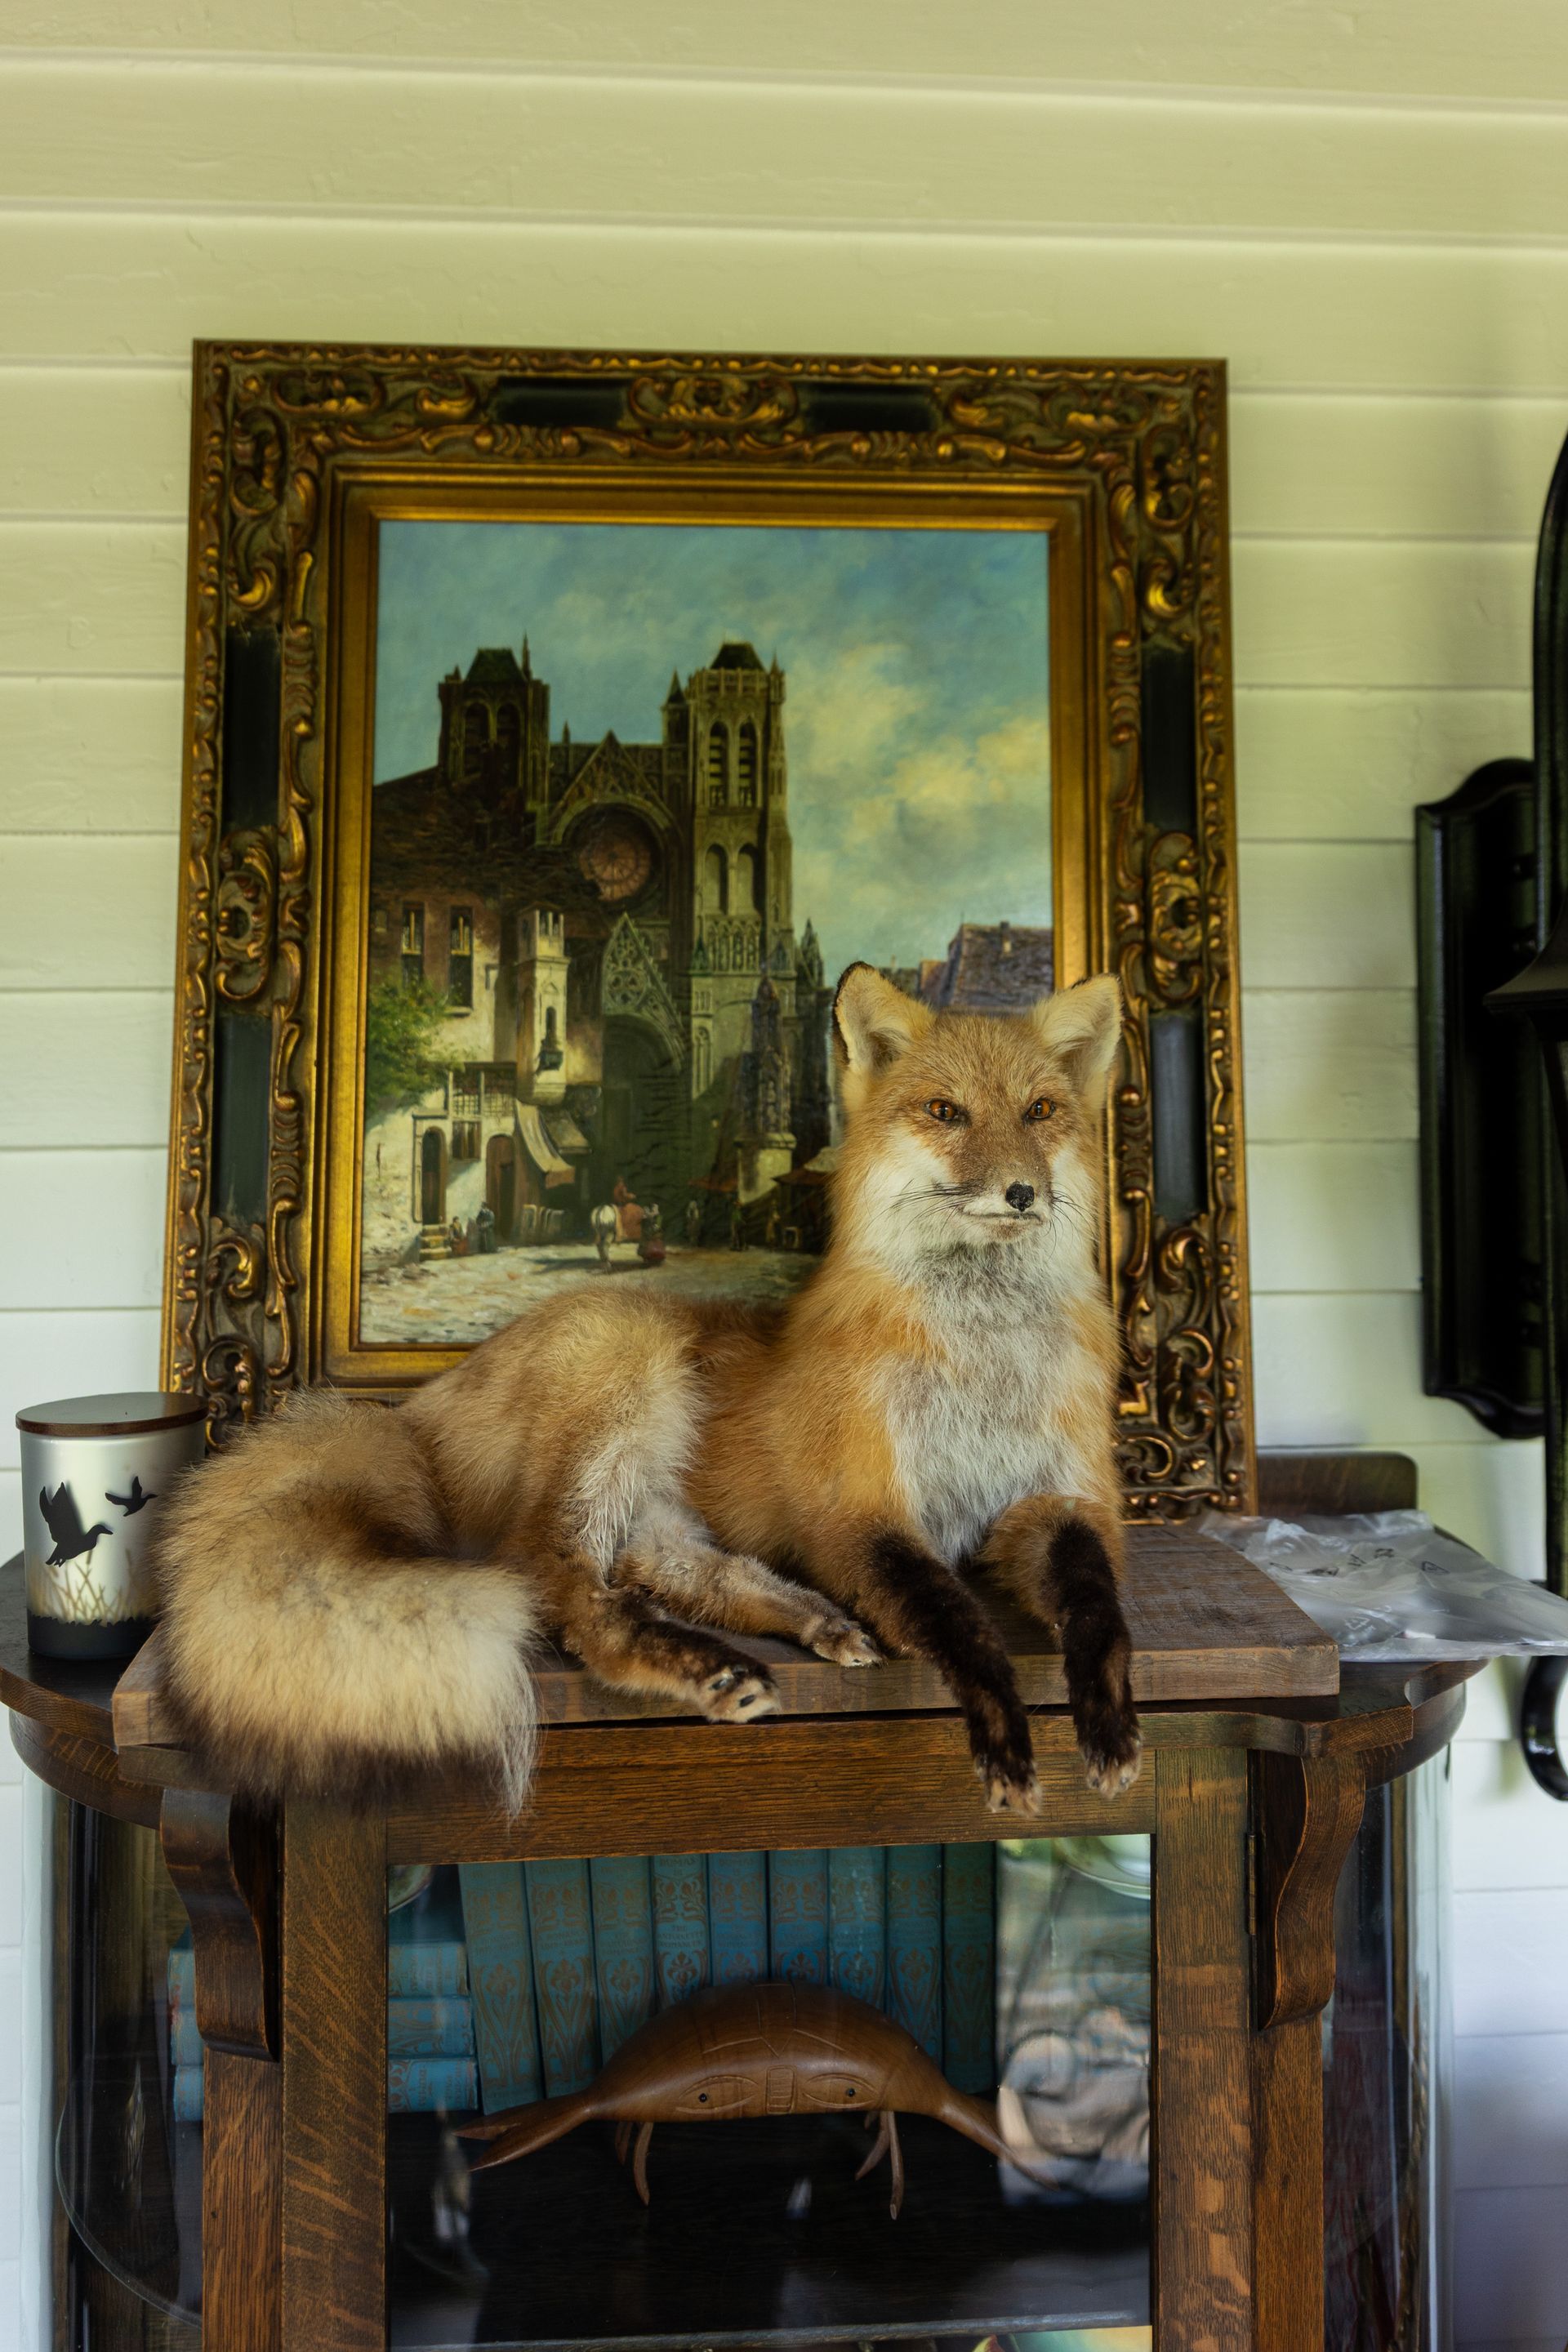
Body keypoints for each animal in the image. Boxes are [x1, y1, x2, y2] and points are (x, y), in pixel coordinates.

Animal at [152, 963, 1140, 1814]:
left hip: (656, 1507)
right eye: (945, 1111)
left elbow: (1100, 1603)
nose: (1021, 1192)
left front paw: (1110, 1718)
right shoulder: (858, 1508)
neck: (983, 1361)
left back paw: (810, 1626)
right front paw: (1003, 1734)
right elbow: (958, 1619)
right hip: (627, 1382)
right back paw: (716, 1668)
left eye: (1041, 1112)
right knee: (555, 1587)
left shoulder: (1056, 1496)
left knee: (679, 1578)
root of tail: (419, 1408)